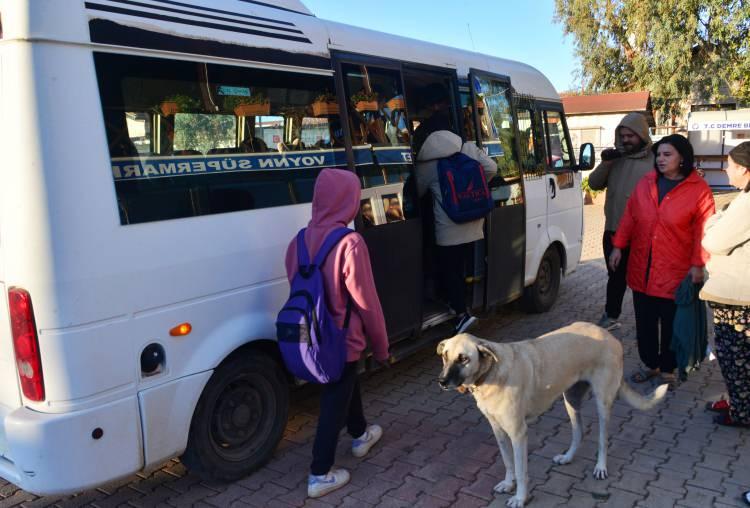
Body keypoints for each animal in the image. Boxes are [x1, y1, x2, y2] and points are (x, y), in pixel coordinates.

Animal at [438, 324, 668, 506]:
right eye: (444, 356)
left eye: (464, 358)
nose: (441, 381)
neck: (491, 373)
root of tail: (609, 335)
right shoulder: (498, 430)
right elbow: (508, 462)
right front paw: (508, 484)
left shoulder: (518, 434)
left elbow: (521, 471)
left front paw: (520, 498)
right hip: (571, 400)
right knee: (579, 432)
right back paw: (568, 457)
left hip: (603, 403)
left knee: (603, 440)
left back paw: (600, 467)